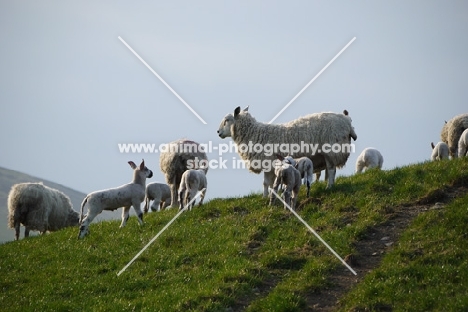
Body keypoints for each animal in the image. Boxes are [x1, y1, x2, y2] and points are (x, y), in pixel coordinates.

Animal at [218, 106, 356, 196]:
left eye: (227, 120)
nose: (218, 132)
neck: (255, 134)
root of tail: (347, 121)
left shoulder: (268, 163)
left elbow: (266, 183)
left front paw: (265, 197)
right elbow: (268, 183)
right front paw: (268, 196)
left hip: (332, 150)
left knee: (331, 170)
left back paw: (329, 187)